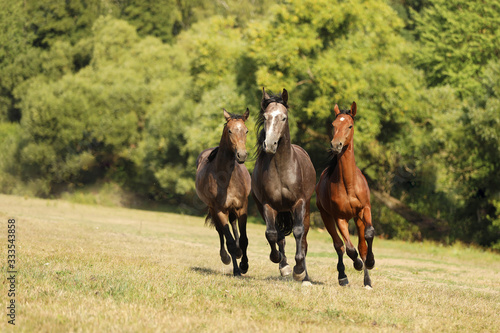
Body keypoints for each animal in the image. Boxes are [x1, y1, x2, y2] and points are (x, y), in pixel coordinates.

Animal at [194, 107, 250, 274]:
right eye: (230, 131)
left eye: (246, 131)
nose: (241, 155)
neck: (226, 178)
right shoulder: (219, 210)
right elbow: (229, 241)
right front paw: (237, 269)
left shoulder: (242, 207)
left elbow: (243, 239)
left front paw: (244, 265)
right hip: (214, 210)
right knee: (221, 232)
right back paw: (226, 257)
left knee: (233, 225)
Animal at [252, 87, 314, 282]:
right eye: (265, 117)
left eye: (284, 117)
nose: (270, 144)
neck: (281, 169)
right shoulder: (268, 205)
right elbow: (272, 234)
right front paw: (282, 264)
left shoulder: (299, 203)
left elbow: (298, 232)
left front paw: (299, 270)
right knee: (279, 236)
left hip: (306, 209)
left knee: (304, 239)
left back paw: (304, 275)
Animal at [316, 102, 376, 288]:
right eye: (333, 125)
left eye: (349, 125)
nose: (336, 145)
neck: (349, 184)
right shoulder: (339, 217)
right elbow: (349, 248)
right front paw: (357, 265)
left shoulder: (364, 210)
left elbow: (368, 236)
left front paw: (370, 262)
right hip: (326, 217)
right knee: (339, 245)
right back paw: (343, 277)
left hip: (357, 218)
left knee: (361, 245)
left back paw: (367, 280)